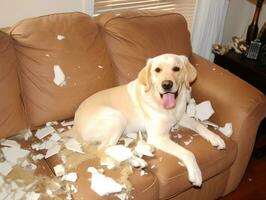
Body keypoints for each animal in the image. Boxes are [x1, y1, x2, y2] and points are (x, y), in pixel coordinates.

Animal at [72, 53, 224, 186]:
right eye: (157, 70)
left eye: (176, 68)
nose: (167, 84)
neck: (167, 107)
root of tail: (75, 127)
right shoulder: (158, 137)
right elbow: (188, 152)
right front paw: (195, 173)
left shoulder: (181, 117)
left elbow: (199, 125)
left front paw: (215, 137)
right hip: (117, 117)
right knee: (103, 149)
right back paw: (135, 161)